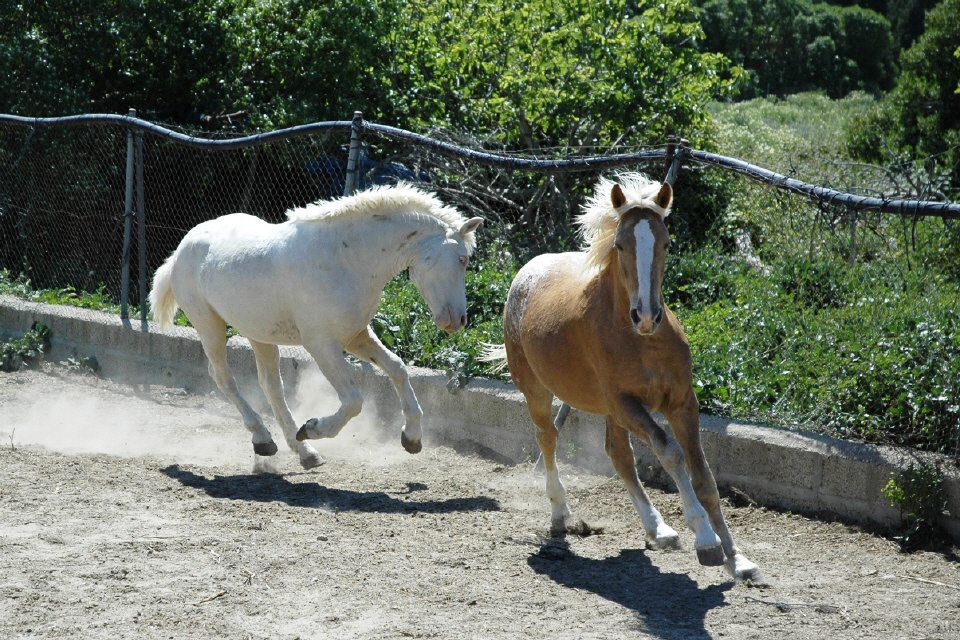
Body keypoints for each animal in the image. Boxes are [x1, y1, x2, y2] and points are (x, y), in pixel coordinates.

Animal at [149, 182, 484, 468]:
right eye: (463, 259)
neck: (346, 259)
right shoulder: (321, 345)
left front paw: (412, 438)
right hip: (210, 325)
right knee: (223, 377)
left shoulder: (356, 336)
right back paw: (265, 439)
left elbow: (398, 369)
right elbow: (354, 400)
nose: (458, 320)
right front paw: (313, 427)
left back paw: (304, 453)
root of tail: (180, 250)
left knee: (271, 386)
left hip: (260, 334)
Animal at [492, 172, 760, 584]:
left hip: (611, 412)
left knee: (618, 456)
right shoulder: (627, 404)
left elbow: (704, 477)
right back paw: (560, 513)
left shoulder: (682, 402)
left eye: (666, 242)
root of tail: (526, 273)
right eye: (620, 245)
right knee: (547, 439)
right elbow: (670, 452)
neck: (642, 342)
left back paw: (659, 530)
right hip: (538, 391)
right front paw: (705, 539)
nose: (646, 316)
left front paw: (737, 559)